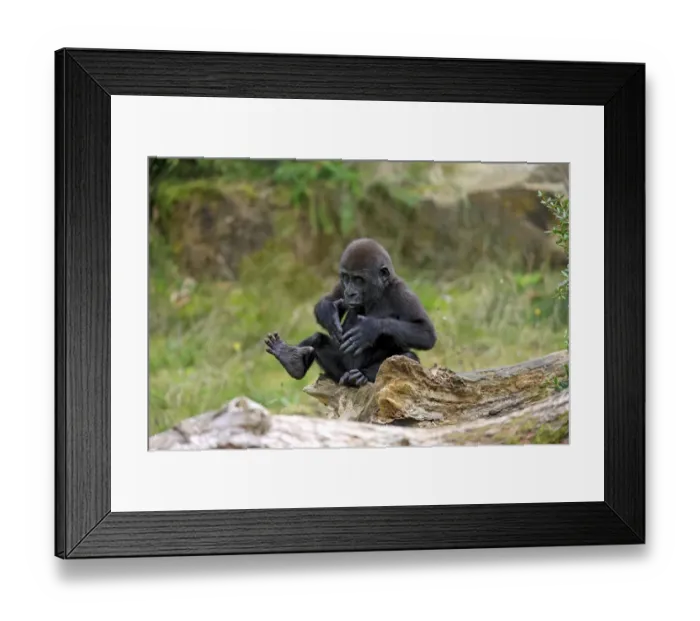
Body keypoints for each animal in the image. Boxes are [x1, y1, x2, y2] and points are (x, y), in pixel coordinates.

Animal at [264, 238, 437, 387]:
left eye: (359, 279)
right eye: (347, 278)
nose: (350, 293)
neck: (379, 291)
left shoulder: (401, 292)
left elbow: (425, 332)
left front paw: (369, 328)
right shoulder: (342, 286)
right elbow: (326, 301)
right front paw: (330, 315)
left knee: (408, 357)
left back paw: (362, 375)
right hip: (340, 373)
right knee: (318, 339)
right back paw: (292, 359)